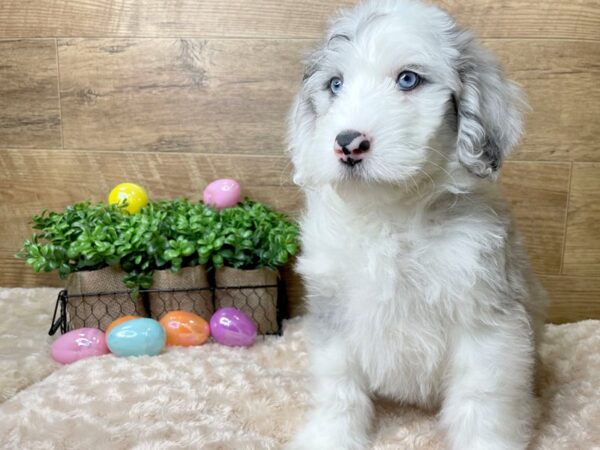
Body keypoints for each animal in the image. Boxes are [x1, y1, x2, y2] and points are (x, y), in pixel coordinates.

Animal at [288, 0, 548, 450]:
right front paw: (330, 436)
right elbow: (339, 386)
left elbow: (482, 399)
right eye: (336, 84)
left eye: (408, 79)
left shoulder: (485, 318)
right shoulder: (332, 308)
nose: (348, 143)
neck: (391, 214)